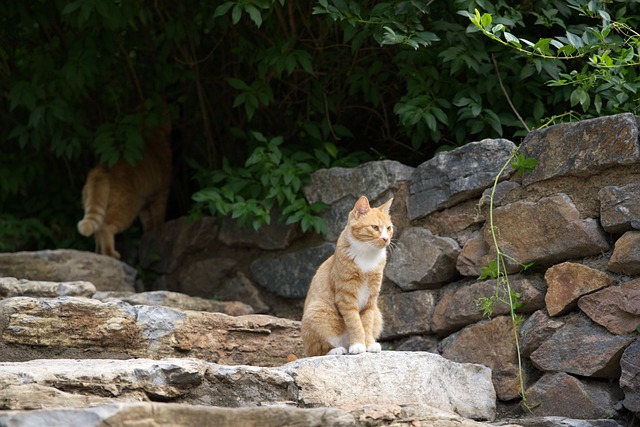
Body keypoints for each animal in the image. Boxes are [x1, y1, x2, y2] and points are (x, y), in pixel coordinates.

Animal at [77, 117, 171, 260]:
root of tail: (101, 169)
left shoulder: (143, 203)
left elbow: (147, 220)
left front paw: (149, 231)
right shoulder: (161, 193)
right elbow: (158, 215)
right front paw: (159, 228)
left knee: (98, 231)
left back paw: (98, 253)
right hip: (126, 208)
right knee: (105, 227)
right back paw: (110, 253)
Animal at [302, 196, 396, 356]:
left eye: (388, 228)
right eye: (375, 227)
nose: (385, 239)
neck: (367, 255)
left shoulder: (371, 300)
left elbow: (367, 323)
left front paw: (369, 344)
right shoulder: (346, 297)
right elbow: (355, 323)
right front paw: (358, 344)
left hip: (378, 313)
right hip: (317, 310)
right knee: (318, 350)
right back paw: (337, 350)